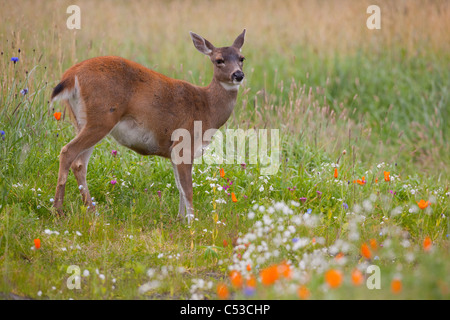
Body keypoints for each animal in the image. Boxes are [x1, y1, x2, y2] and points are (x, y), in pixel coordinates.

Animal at [51, 30, 248, 225]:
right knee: (68, 152)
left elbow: (179, 187)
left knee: (79, 163)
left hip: (82, 121)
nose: (238, 75)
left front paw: (180, 219)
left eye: (241, 58)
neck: (208, 109)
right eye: (219, 60)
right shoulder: (184, 143)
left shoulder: (174, 150)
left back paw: (92, 211)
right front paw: (192, 223)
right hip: (101, 118)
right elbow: (188, 189)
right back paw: (59, 211)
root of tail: (71, 75)